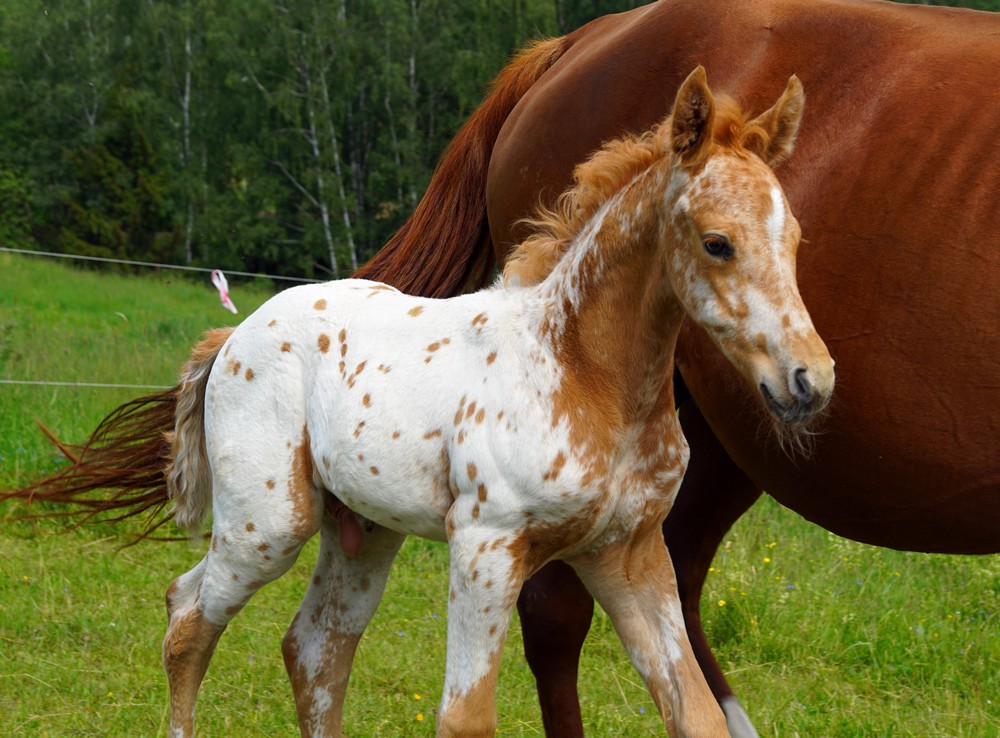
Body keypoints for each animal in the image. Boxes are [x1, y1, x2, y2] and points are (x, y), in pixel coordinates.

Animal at [162, 69, 836, 736]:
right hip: (268, 524)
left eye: (797, 240)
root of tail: (234, 335)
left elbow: (695, 711)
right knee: (187, 618)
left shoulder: (629, 553)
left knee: (314, 650)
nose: (810, 380)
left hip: (364, 530)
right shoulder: (485, 544)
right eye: (717, 243)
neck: (583, 372)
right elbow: (465, 718)